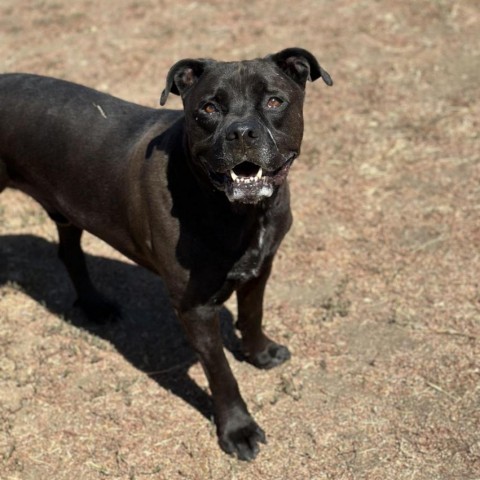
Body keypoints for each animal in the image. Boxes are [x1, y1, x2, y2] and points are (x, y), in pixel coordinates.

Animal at [0, 48, 332, 462]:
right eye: (208, 108)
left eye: (274, 101)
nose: (241, 132)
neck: (241, 213)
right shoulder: (195, 308)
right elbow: (221, 372)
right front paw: (238, 430)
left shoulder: (261, 267)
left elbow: (252, 315)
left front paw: (259, 353)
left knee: (70, 252)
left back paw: (95, 305)